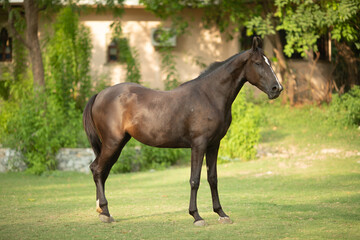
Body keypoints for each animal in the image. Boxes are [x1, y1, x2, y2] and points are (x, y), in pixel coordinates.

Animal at [83, 36, 282, 226]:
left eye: (269, 61)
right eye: (258, 63)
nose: (277, 88)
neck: (209, 96)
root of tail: (100, 94)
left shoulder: (214, 145)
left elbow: (213, 178)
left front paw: (221, 214)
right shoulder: (198, 145)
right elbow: (195, 179)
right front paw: (196, 216)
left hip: (117, 144)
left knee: (101, 171)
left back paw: (102, 211)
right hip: (113, 143)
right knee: (97, 169)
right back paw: (105, 212)